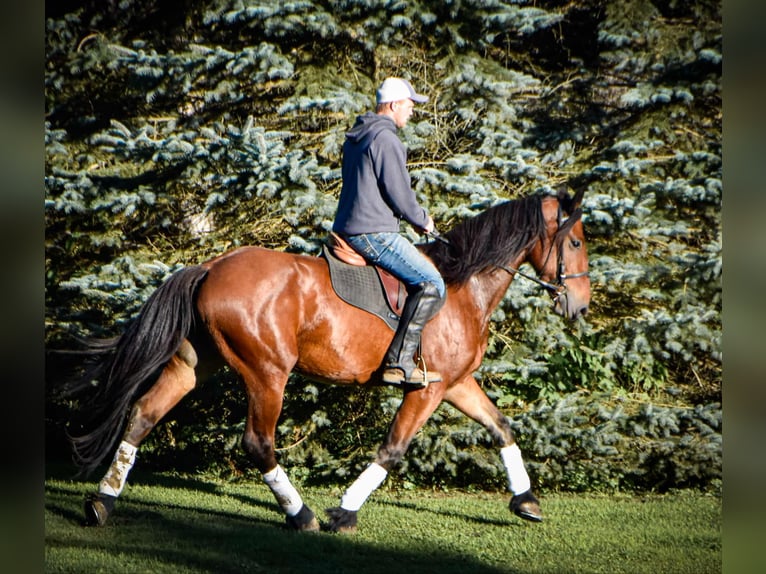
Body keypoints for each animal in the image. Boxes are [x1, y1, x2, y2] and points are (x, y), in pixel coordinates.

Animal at [67, 189, 592, 536]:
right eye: (576, 243)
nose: (582, 305)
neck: (464, 287)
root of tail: (212, 266)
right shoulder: (427, 389)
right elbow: (392, 450)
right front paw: (345, 512)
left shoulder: (457, 384)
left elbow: (501, 426)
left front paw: (526, 501)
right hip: (267, 374)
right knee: (258, 443)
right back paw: (302, 515)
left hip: (195, 365)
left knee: (143, 415)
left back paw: (102, 503)